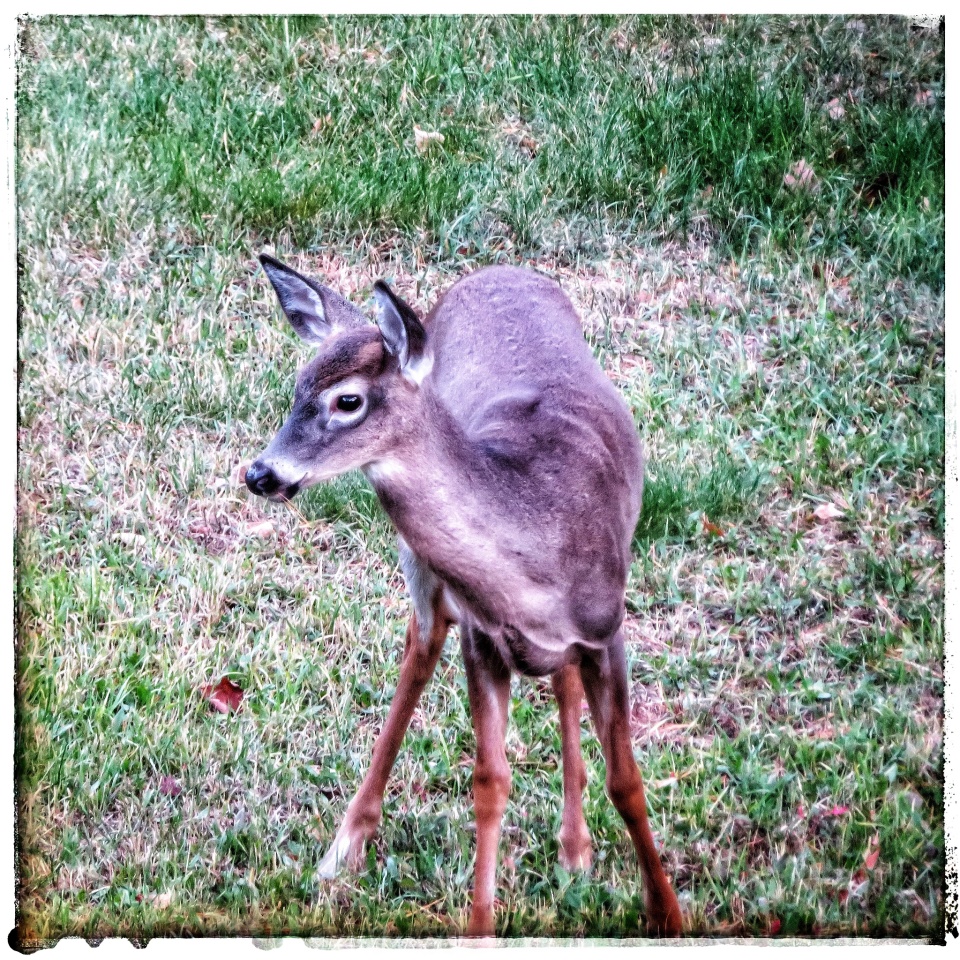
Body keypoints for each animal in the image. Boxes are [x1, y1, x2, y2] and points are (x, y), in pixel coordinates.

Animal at [248, 255, 684, 936]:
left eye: (348, 400)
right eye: (296, 386)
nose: (260, 473)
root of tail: (499, 270)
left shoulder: (605, 627)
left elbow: (627, 780)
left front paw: (665, 912)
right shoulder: (482, 638)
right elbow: (489, 783)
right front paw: (480, 927)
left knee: (561, 683)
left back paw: (576, 851)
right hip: (426, 577)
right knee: (422, 643)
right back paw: (345, 847)